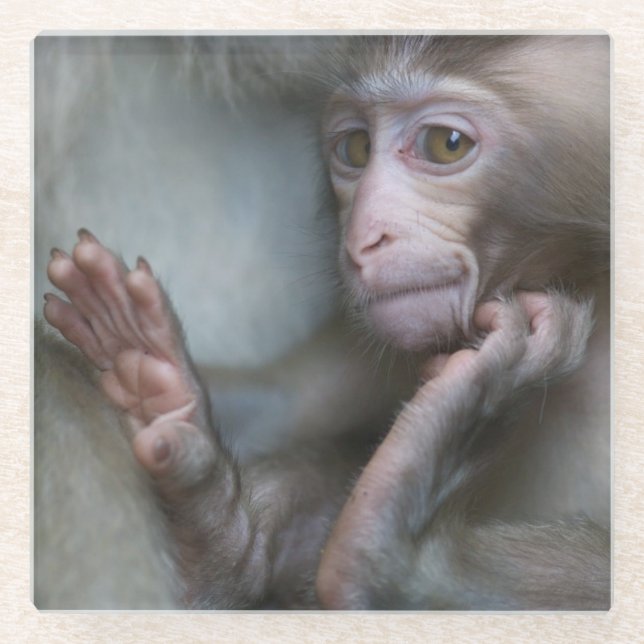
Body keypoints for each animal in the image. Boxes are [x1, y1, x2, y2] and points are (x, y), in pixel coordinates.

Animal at [36, 34, 610, 610]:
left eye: (446, 144)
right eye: (355, 148)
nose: (363, 239)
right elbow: (287, 401)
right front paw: (156, 384)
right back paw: (224, 537)